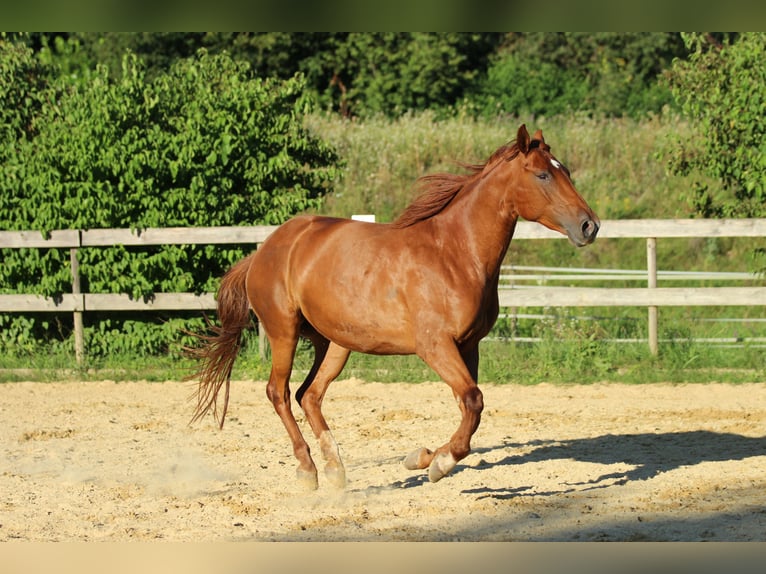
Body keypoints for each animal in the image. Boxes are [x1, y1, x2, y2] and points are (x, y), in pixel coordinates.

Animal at [186, 125, 600, 490]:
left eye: (566, 171)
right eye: (543, 174)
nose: (589, 226)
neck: (455, 254)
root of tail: (263, 251)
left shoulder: (468, 346)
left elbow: (468, 407)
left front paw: (423, 458)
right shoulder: (435, 345)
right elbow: (473, 400)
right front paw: (437, 464)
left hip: (334, 343)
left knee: (310, 394)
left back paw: (336, 471)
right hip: (283, 331)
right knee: (280, 392)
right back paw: (308, 471)